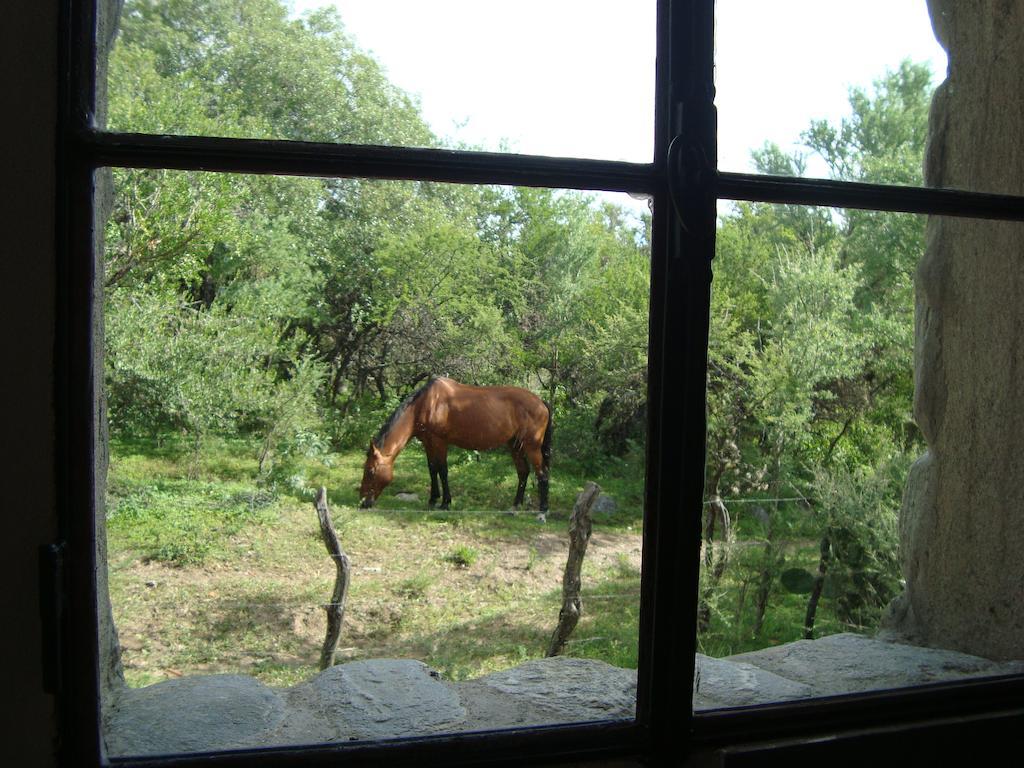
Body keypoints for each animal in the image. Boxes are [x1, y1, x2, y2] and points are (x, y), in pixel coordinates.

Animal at [360, 376, 552, 514]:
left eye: (371, 471)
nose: (362, 502)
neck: (426, 404)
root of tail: (541, 402)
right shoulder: (428, 442)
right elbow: (432, 469)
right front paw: (433, 500)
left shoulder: (439, 441)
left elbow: (442, 470)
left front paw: (445, 503)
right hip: (515, 445)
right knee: (523, 472)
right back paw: (515, 506)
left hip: (532, 446)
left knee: (542, 474)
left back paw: (543, 510)